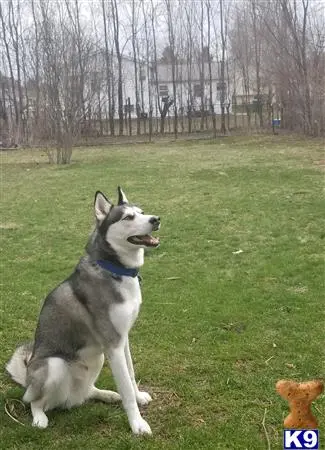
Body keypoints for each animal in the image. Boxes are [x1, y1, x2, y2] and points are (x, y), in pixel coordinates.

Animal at [5, 185, 160, 434]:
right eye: (128, 217)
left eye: (142, 212)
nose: (156, 219)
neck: (114, 269)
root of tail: (27, 382)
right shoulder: (113, 344)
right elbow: (126, 387)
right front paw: (137, 424)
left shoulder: (123, 339)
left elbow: (130, 373)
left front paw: (138, 397)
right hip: (54, 365)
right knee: (34, 402)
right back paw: (39, 418)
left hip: (96, 358)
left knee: (86, 392)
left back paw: (107, 395)